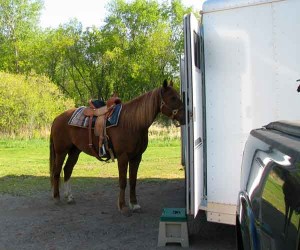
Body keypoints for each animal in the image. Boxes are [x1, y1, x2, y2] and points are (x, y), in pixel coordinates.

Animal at [49, 79, 185, 215]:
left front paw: (134, 204)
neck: (132, 123)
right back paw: (56, 198)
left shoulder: (136, 157)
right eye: (173, 98)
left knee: (67, 169)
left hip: (74, 151)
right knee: (57, 172)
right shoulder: (123, 157)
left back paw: (69, 197)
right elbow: (123, 182)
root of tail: (57, 118)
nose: (186, 115)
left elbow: (133, 181)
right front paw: (123, 206)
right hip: (61, 151)